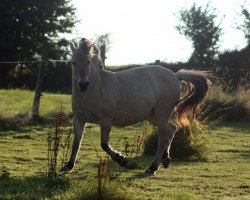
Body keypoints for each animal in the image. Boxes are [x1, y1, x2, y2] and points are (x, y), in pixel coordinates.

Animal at [60, 38, 211, 174]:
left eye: (88, 62)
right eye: (73, 62)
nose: (83, 84)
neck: (96, 89)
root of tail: (175, 75)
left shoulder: (105, 120)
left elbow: (104, 144)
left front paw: (121, 159)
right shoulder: (79, 120)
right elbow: (76, 142)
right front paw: (68, 166)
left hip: (161, 115)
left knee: (163, 139)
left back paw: (152, 167)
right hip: (154, 117)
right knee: (172, 129)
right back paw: (165, 159)